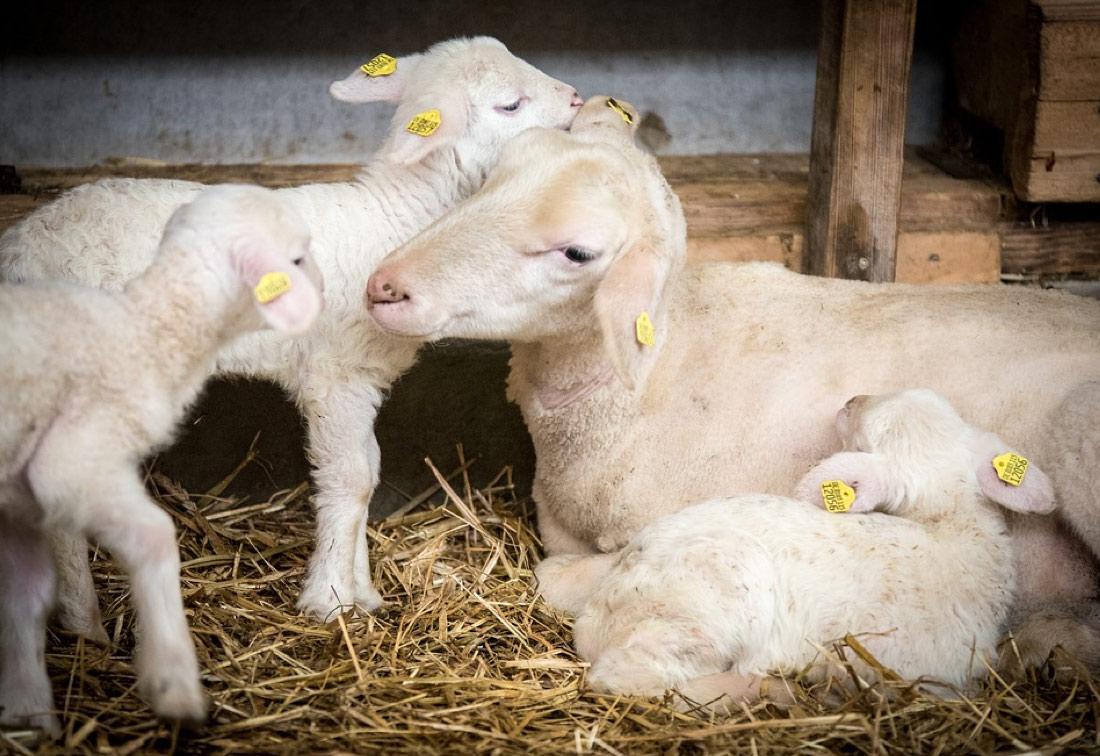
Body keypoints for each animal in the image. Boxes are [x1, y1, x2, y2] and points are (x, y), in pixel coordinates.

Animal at [0, 35, 585, 625]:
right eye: (509, 104)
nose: (578, 98)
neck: (391, 221)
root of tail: (20, 246)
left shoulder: (362, 378)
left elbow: (370, 469)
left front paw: (362, 593)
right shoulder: (334, 375)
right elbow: (350, 479)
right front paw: (329, 601)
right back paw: (84, 620)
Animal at [0, 183, 323, 735]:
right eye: (297, 258)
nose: (324, 290)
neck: (146, 328)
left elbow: (25, 592)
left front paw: (28, 714)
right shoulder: (71, 458)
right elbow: (150, 536)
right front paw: (171, 680)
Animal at [532, 389, 1056, 708]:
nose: (852, 399)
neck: (950, 527)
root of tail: (598, 613)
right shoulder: (925, 678)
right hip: (709, 606)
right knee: (629, 678)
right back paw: (763, 689)